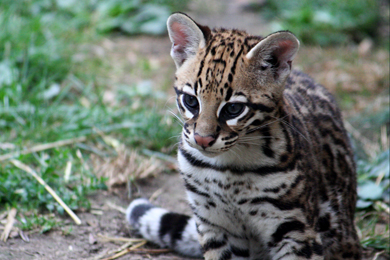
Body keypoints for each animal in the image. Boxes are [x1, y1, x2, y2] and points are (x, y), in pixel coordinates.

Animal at [125, 12, 362, 260]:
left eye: (233, 109)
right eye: (191, 101)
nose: (202, 139)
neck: (227, 169)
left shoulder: (295, 229)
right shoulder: (213, 222)